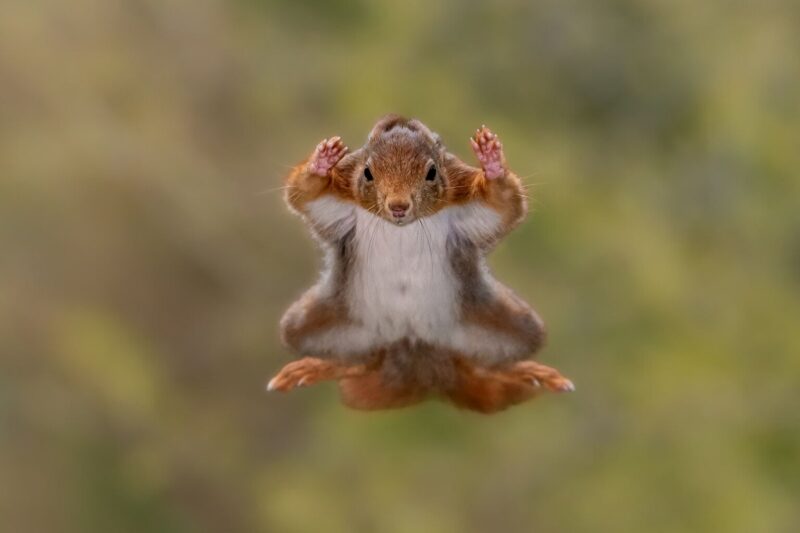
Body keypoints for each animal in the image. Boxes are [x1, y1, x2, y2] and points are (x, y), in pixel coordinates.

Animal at [268, 114, 573, 413]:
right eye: (367, 172)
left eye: (432, 172)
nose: (398, 206)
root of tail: (416, 354)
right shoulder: (340, 201)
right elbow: (304, 195)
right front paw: (321, 163)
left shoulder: (464, 200)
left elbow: (504, 205)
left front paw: (492, 163)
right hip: (318, 323)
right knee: (360, 361)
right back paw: (319, 366)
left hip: (506, 324)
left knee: (482, 364)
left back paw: (524, 372)